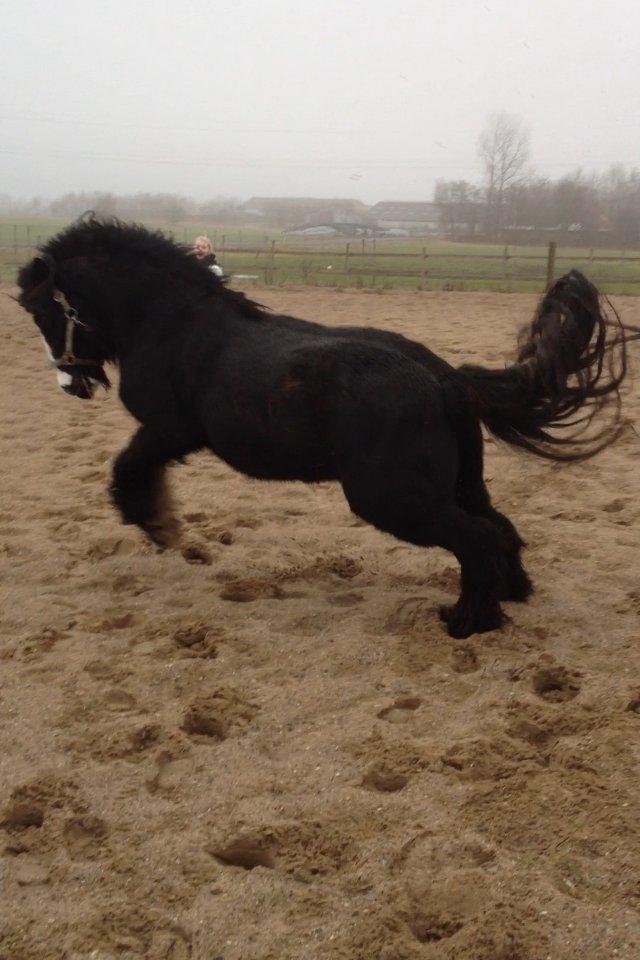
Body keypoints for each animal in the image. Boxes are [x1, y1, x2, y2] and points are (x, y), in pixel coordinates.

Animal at [15, 218, 632, 636]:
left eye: (43, 311)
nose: (70, 383)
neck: (175, 324)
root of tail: (444, 377)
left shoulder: (171, 430)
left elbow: (127, 468)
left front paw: (157, 524)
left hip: (392, 497)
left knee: (477, 538)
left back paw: (466, 621)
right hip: (455, 483)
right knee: (500, 527)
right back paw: (513, 595)